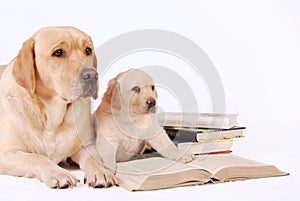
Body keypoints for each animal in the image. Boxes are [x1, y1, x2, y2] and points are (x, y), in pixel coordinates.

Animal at [0, 26, 115, 188]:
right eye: (58, 52)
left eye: (88, 50)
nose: (92, 75)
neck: (52, 119)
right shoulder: (7, 153)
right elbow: (37, 158)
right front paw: (58, 173)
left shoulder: (87, 146)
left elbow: (94, 159)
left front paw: (101, 172)